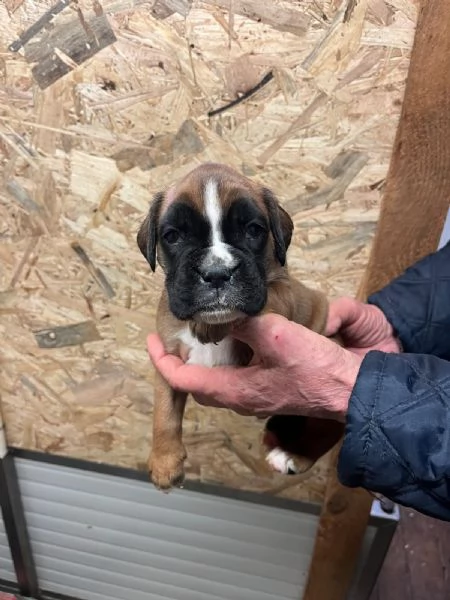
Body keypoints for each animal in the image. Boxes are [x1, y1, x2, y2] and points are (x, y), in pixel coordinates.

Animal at [137, 162, 342, 490]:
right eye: (173, 236)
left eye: (254, 230)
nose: (216, 273)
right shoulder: (168, 360)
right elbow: (164, 411)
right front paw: (164, 461)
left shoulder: (284, 291)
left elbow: (269, 297)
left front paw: (214, 326)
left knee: (325, 428)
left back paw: (294, 456)